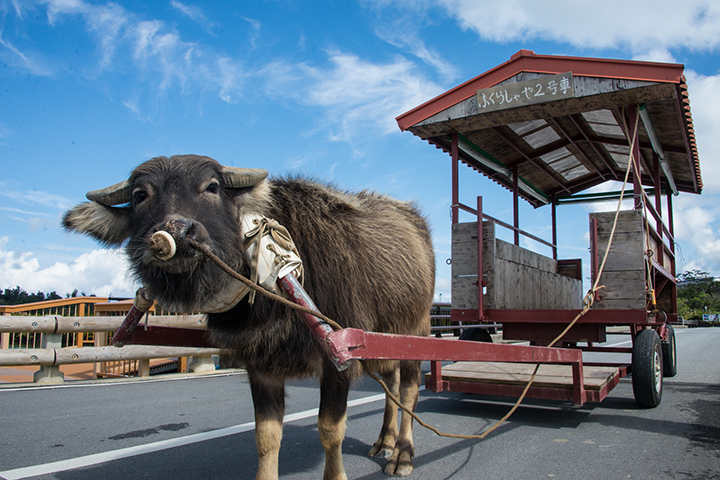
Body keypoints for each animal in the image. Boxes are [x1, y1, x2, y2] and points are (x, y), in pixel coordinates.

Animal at [63, 156, 434, 478]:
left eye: (212, 187)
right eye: (140, 195)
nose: (177, 232)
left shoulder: (339, 359)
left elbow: (330, 429)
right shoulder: (261, 365)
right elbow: (266, 436)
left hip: (417, 330)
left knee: (409, 388)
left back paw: (402, 454)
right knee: (391, 384)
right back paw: (384, 441)